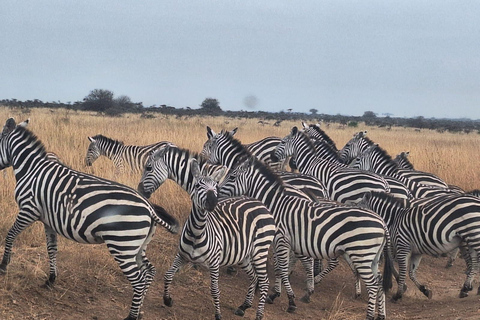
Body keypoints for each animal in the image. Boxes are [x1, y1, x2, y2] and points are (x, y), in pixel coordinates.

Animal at [0, 118, 179, 320]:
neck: (31, 169)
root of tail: (149, 207)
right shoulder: (48, 220)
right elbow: (52, 249)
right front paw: (51, 279)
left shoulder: (28, 210)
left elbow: (10, 235)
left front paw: (4, 266)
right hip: (137, 245)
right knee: (149, 271)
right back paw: (140, 311)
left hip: (123, 244)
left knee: (139, 280)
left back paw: (132, 316)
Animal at [137, 146, 276, 320]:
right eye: (197, 186)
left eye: (148, 167)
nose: (140, 190)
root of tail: (263, 206)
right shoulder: (182, 255)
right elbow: (169, 275)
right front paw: (168, 299)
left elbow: (215, 290)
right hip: (245, 254)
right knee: (254, 276)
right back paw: (244, 306)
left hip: (259, 250)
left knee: (265, 280)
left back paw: (260, 310)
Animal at [201, 126, 392, 318]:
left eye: (232, 176)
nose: (215, 196)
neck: (275, 202)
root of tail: (382, 223)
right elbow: (281, 267)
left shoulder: (280, 239)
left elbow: (282, 268)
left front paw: (287, 300)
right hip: (371, 257)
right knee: (379, 281)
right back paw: (381, 314)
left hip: (362, 253)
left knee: (372, 284)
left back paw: (367, 314)